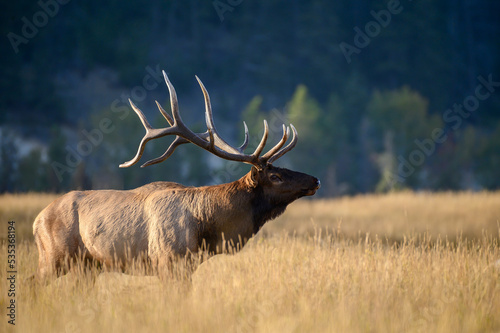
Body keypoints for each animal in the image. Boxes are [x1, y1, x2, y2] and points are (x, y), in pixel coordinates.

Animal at [32, 70, 320, 280]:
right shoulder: (168, 262)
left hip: (88, 266)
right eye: (275, 176)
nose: (315, 180)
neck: (207, 227)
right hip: (52, 257)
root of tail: (37, 220)